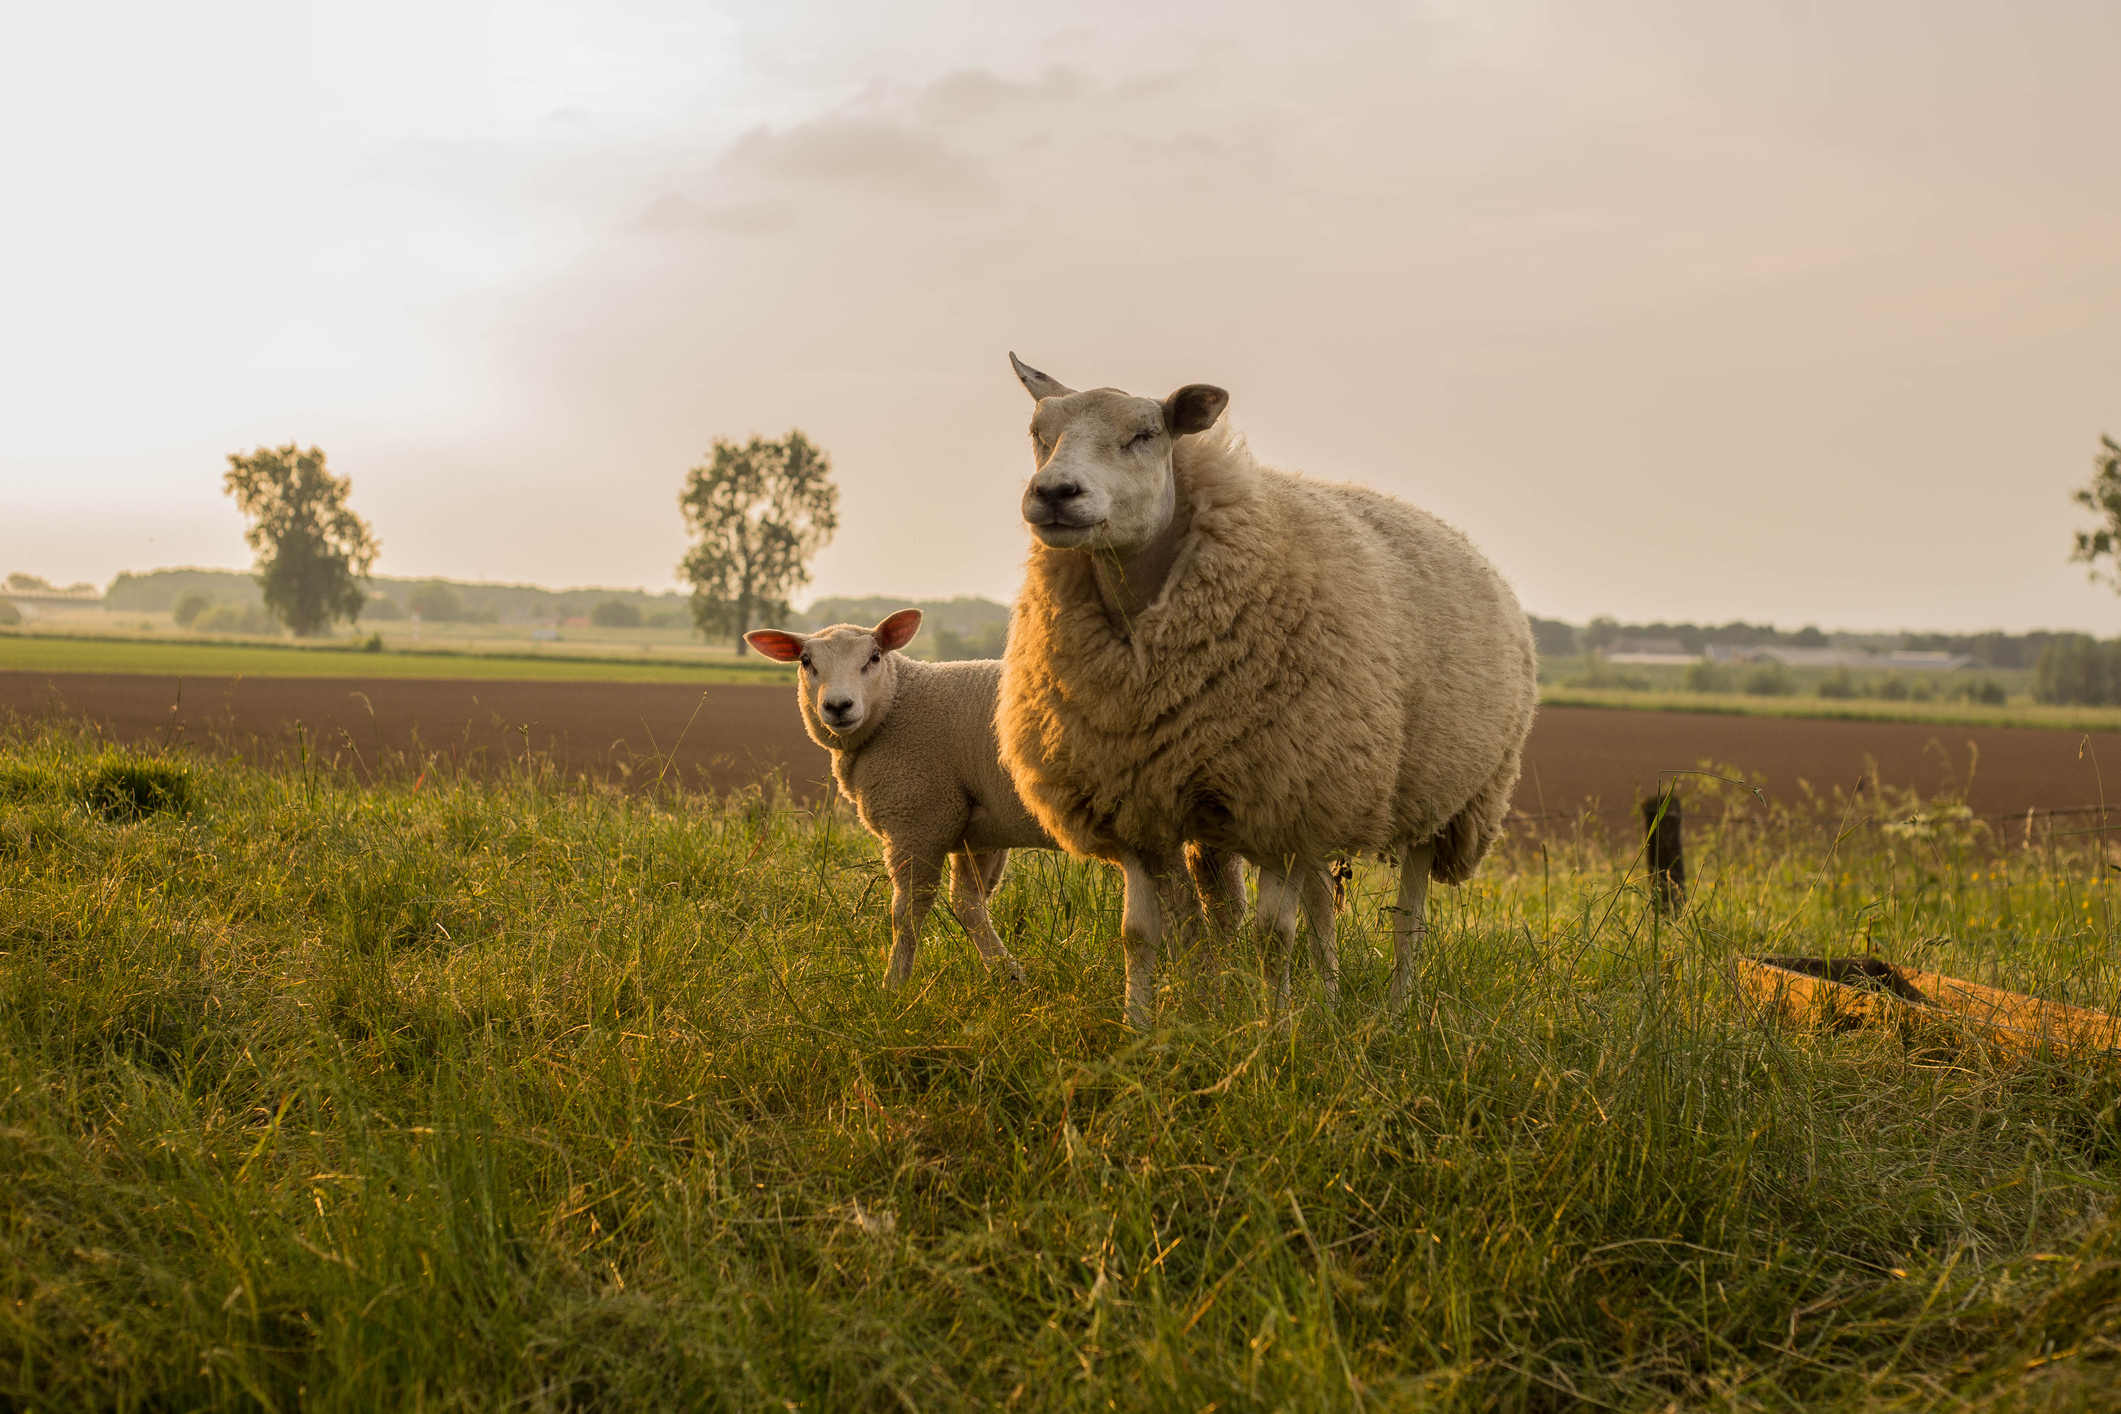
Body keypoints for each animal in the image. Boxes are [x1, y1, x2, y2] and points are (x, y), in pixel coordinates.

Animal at [746, 610, 1238, 996]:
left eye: (873, 658)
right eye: (806, 662)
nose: (838, 706)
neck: (897, 705)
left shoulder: (919, 819)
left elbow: (907, 914)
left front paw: (893, 989)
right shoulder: (975, 829)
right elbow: (968, 904)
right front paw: (1009, 975)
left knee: (1191, 900)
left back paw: (1204, 983)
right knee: (1220, 890)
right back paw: (1233, 968)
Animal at [992, 354, 1544, 1030]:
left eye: (1145, 435)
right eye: (1038, 433)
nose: (1054, 493)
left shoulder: (1280, 800)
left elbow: (1271, 937)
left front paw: (1275, 1029)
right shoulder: (1137, 804)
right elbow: (1140, 934)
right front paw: (1139, 1029)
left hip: (1439, 799)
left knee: (1407, 917)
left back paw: (1397, 1011)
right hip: (1325, 795)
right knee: (1323, 906)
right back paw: (1331, 1005)